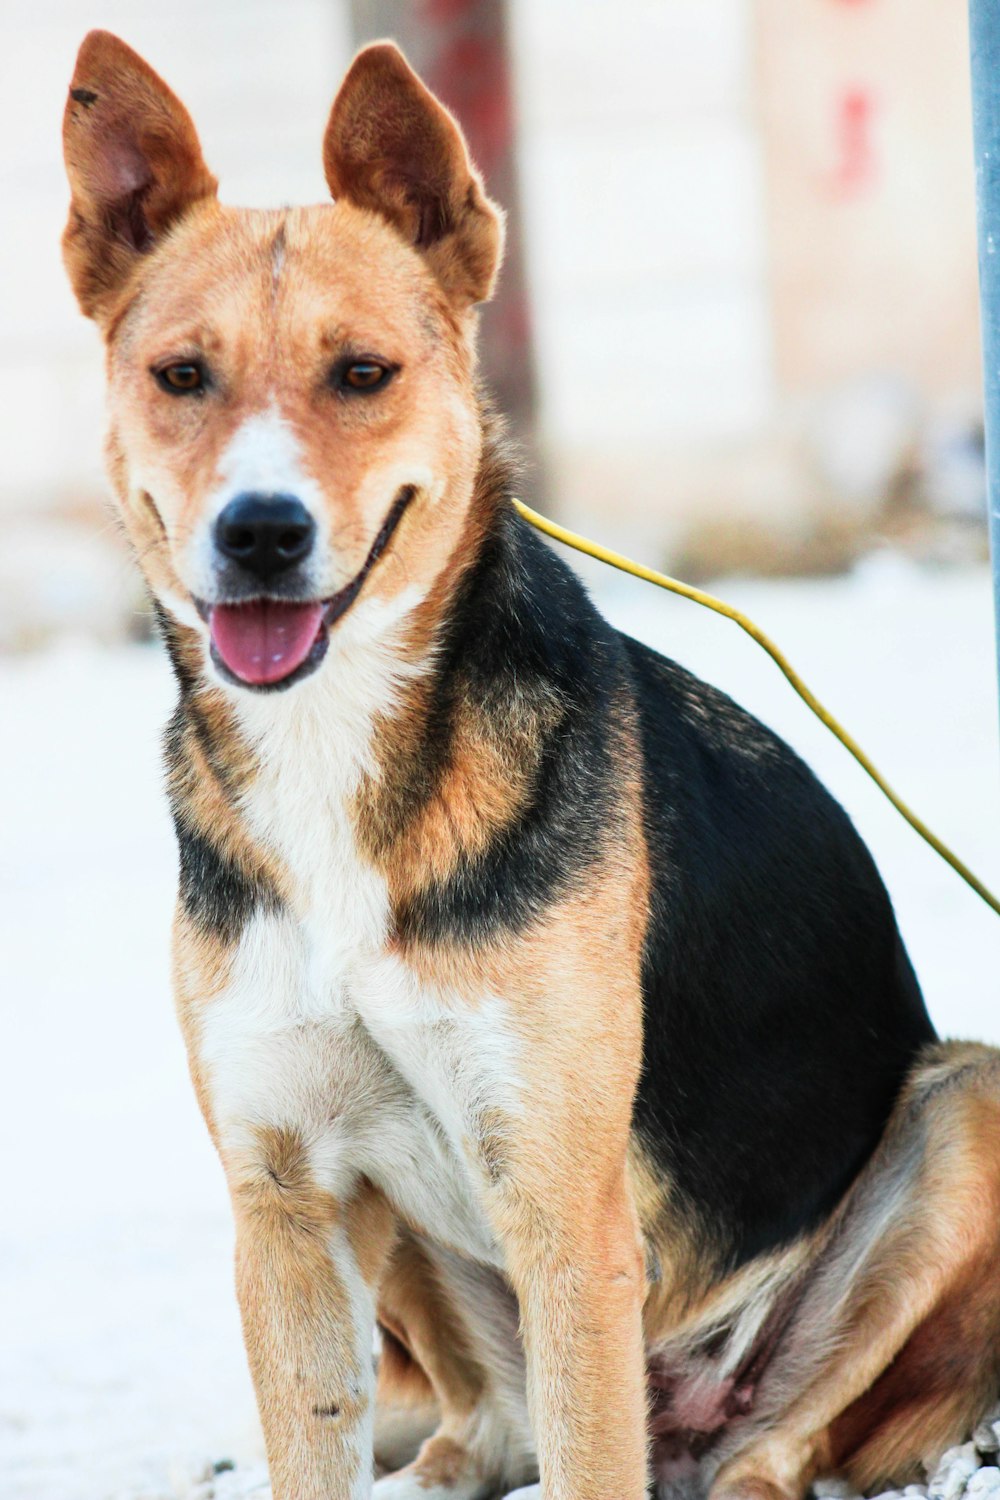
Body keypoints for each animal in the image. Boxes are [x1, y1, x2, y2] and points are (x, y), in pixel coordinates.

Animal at [60, 29, 1000, 1500]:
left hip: (964, 1113)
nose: (260, 533)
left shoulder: (565, 1206)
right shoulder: (284, 1204)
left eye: (362, 373)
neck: (339, 757)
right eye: (180, 377)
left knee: (769, 1453)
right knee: (481, 1423)